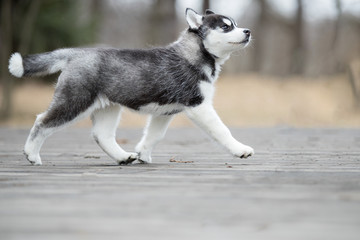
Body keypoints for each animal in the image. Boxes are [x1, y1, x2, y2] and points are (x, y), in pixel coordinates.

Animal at [9, 7, 256, 165]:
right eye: (225, 27)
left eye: (235, 24)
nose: (248, 31)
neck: (194, 53)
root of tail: (76, 52)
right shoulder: (199, 105)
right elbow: (222, 130)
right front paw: (240, 149)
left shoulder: (165, 112)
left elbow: (154, 135)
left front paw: (143, 154)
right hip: (75, 100)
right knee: (42, 121)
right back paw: (31, 154)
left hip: (107, 107)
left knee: (102, 135)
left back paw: (122, 156)